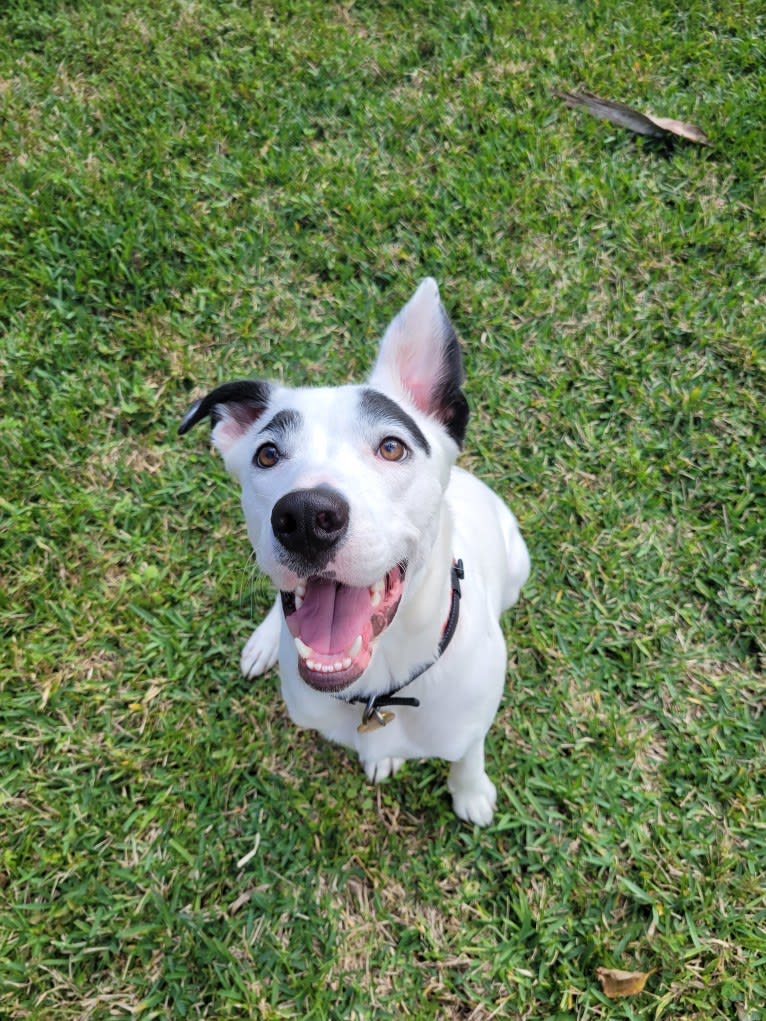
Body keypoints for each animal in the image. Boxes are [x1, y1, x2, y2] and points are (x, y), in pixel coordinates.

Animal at [180, 281, 531, 829]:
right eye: (267, 454)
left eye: (391, 448)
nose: (305, 517)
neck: (379, 687)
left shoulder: (471, 723)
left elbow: (468, 755)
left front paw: (471, 793)